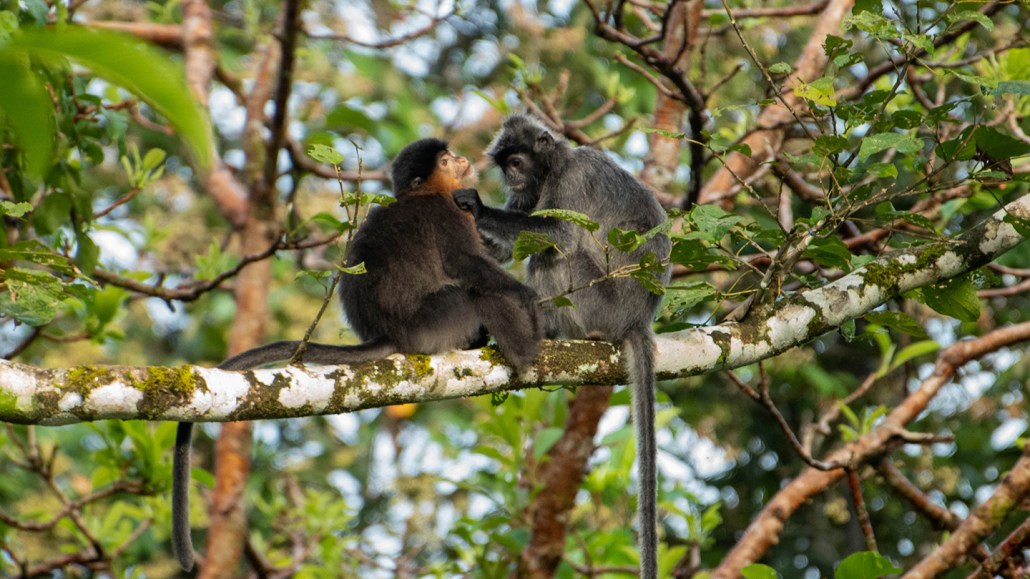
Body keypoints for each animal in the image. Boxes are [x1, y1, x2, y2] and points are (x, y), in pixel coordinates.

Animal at [172, 138, 543, 571]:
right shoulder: (445, 214)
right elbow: (465, 264)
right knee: (475, 294)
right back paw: (523, 349)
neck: (427, 194)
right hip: (435, 320)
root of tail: (389, 333)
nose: (463, 159)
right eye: (446, 160)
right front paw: (526, 296)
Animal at [452, 114, 671, 579]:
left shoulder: (572, 180)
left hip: (595, 302)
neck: (557, 164)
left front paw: (477, 207)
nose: (513, 177)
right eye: (505, 167)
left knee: (555, 253)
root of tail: (638, 319)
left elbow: (560, 233)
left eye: (516, 162)